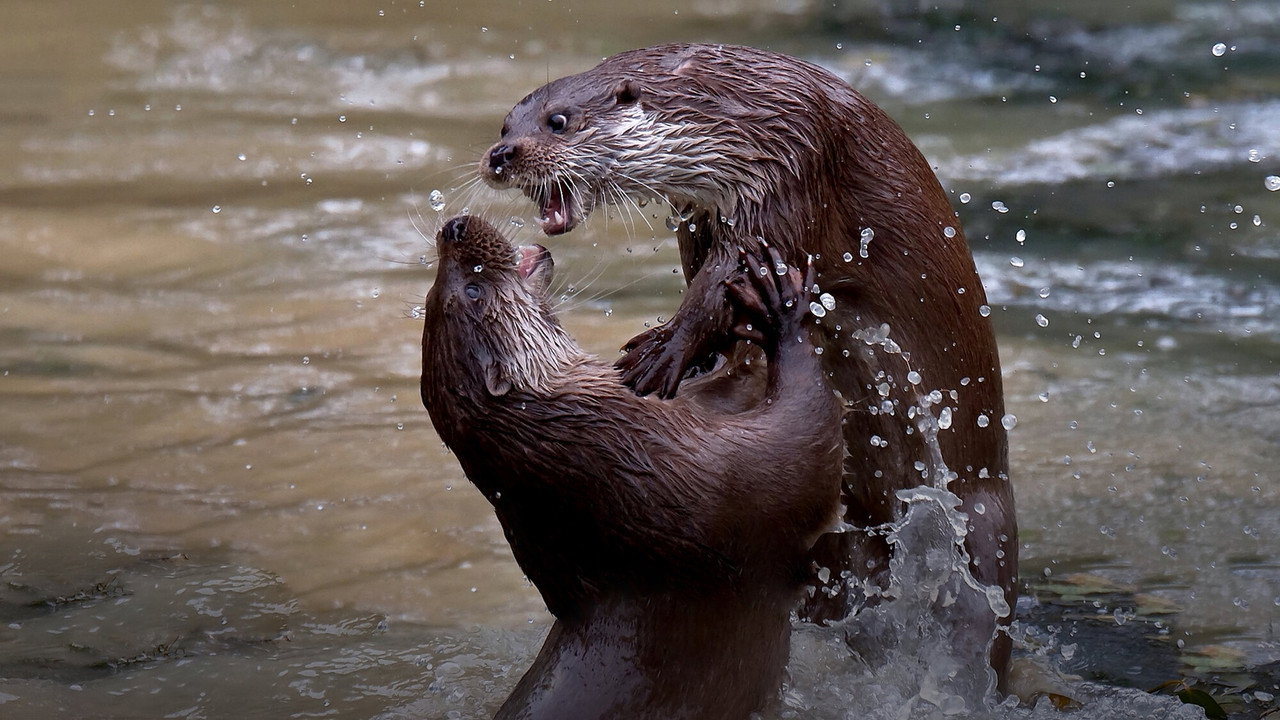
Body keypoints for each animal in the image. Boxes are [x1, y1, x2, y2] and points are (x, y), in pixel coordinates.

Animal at [419, 215, 842, 719]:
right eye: (473, 290)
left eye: (432, 290)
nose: (454, 226)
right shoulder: (719, 481)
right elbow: (807, 444)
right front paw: (783, 309)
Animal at [478, 43, 1017, 683]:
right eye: (506, 125)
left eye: (558, 121)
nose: (501, 156)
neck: (742, 115)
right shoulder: (702, 211)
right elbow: (707, 276)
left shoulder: (790, 171)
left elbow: (728, 279)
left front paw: (666, 351)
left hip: (982, 524)